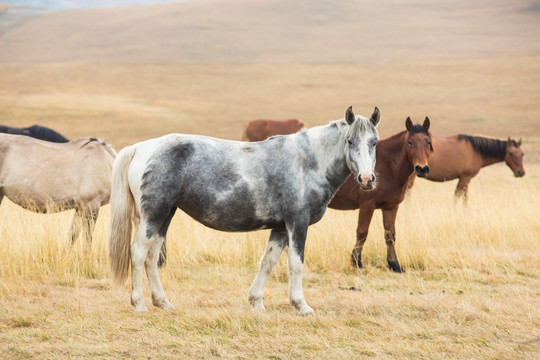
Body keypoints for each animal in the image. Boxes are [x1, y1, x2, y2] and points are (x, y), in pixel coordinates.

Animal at [108, 105, 380, 314]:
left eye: (374, 142)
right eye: (350, 140)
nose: (367, 179)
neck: (307, 161)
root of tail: (140, 148)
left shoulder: (280, 228)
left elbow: (268, 262)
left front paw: (256, 302)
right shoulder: (297, 222)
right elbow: (296, 263)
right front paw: (301, 305)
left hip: (165, 215)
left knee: (152, 257)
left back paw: (162, 302)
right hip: (153, 215)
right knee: (138, 253)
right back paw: (139, 304)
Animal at [326, 116, 432, 272]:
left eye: (428, 142)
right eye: (410, 142)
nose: (422, 168)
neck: (388, 166)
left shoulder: (391, 207)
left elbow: (390, 235)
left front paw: (394, 265)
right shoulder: (367, 205)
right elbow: (362, 233)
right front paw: (356, 261)